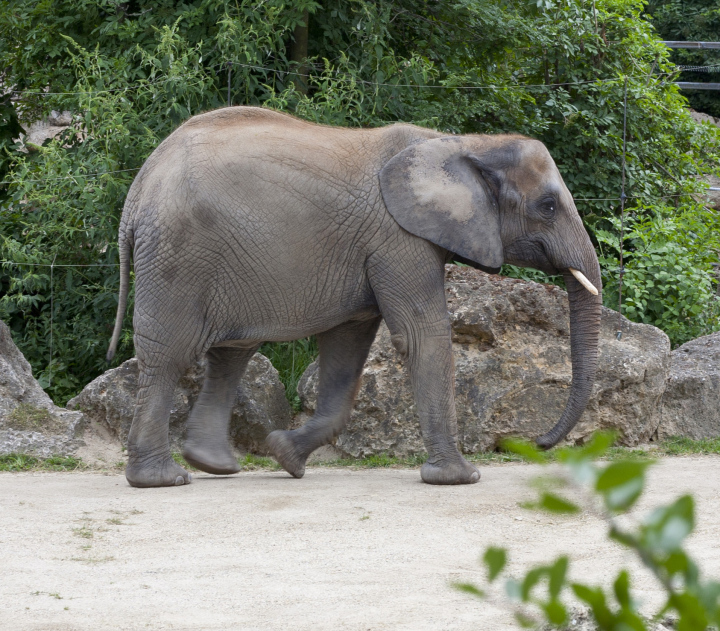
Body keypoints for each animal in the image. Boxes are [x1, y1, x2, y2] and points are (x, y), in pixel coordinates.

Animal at [107, 106, 600, 488]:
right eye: (548, 207)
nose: (538, 442)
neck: (465, 143)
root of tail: (139, 189)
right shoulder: (398, 238)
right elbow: (423, 336)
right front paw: (460, 479)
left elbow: (347, 349)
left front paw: (285, 455)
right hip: (177, 254)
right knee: (170, 356)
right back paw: (162, 479)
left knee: (232, 351)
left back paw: (215, 466)